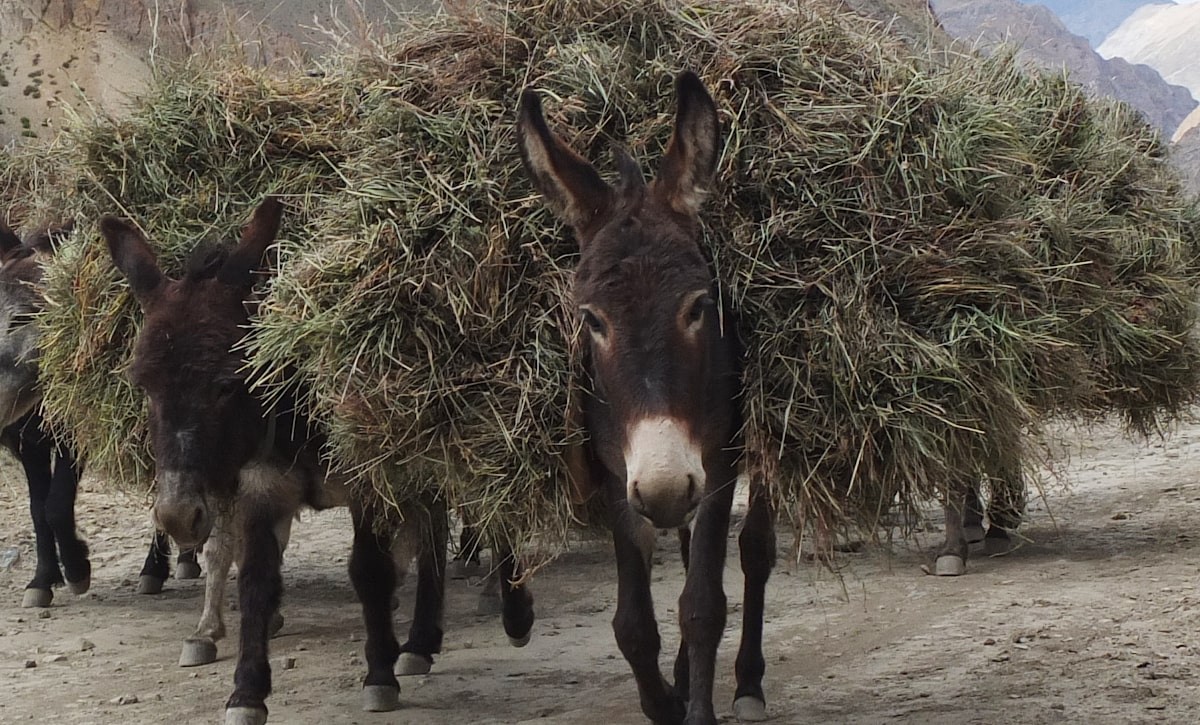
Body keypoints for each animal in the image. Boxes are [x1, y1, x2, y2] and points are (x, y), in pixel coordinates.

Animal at [0, 221, 199, 608]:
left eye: (22, 317)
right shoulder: (29, 442)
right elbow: (37, 509)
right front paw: (42, 580)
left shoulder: (74, 437)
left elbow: (56, 505)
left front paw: (77, 570)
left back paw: (156, 569)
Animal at [100, 198, 533, 723]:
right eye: (143, 385)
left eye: (226, 384)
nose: (177, 516)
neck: (295, 401)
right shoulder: (261, 490)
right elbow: (256, 581)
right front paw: (247, 692)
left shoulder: (367, 481)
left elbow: (369, 570)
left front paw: (379, 675)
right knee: (432, 530)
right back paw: (420, 642)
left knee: (491, 507)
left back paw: (512, 614)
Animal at [518, 71, 775, 725]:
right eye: (592, 320)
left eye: (699, 306)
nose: (663, 486)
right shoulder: (616, 471)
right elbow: (632, 624)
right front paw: (665, 701)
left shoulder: (717, 463)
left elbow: (703, 604)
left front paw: (698, 709)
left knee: (754, 549)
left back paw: (748, 683)